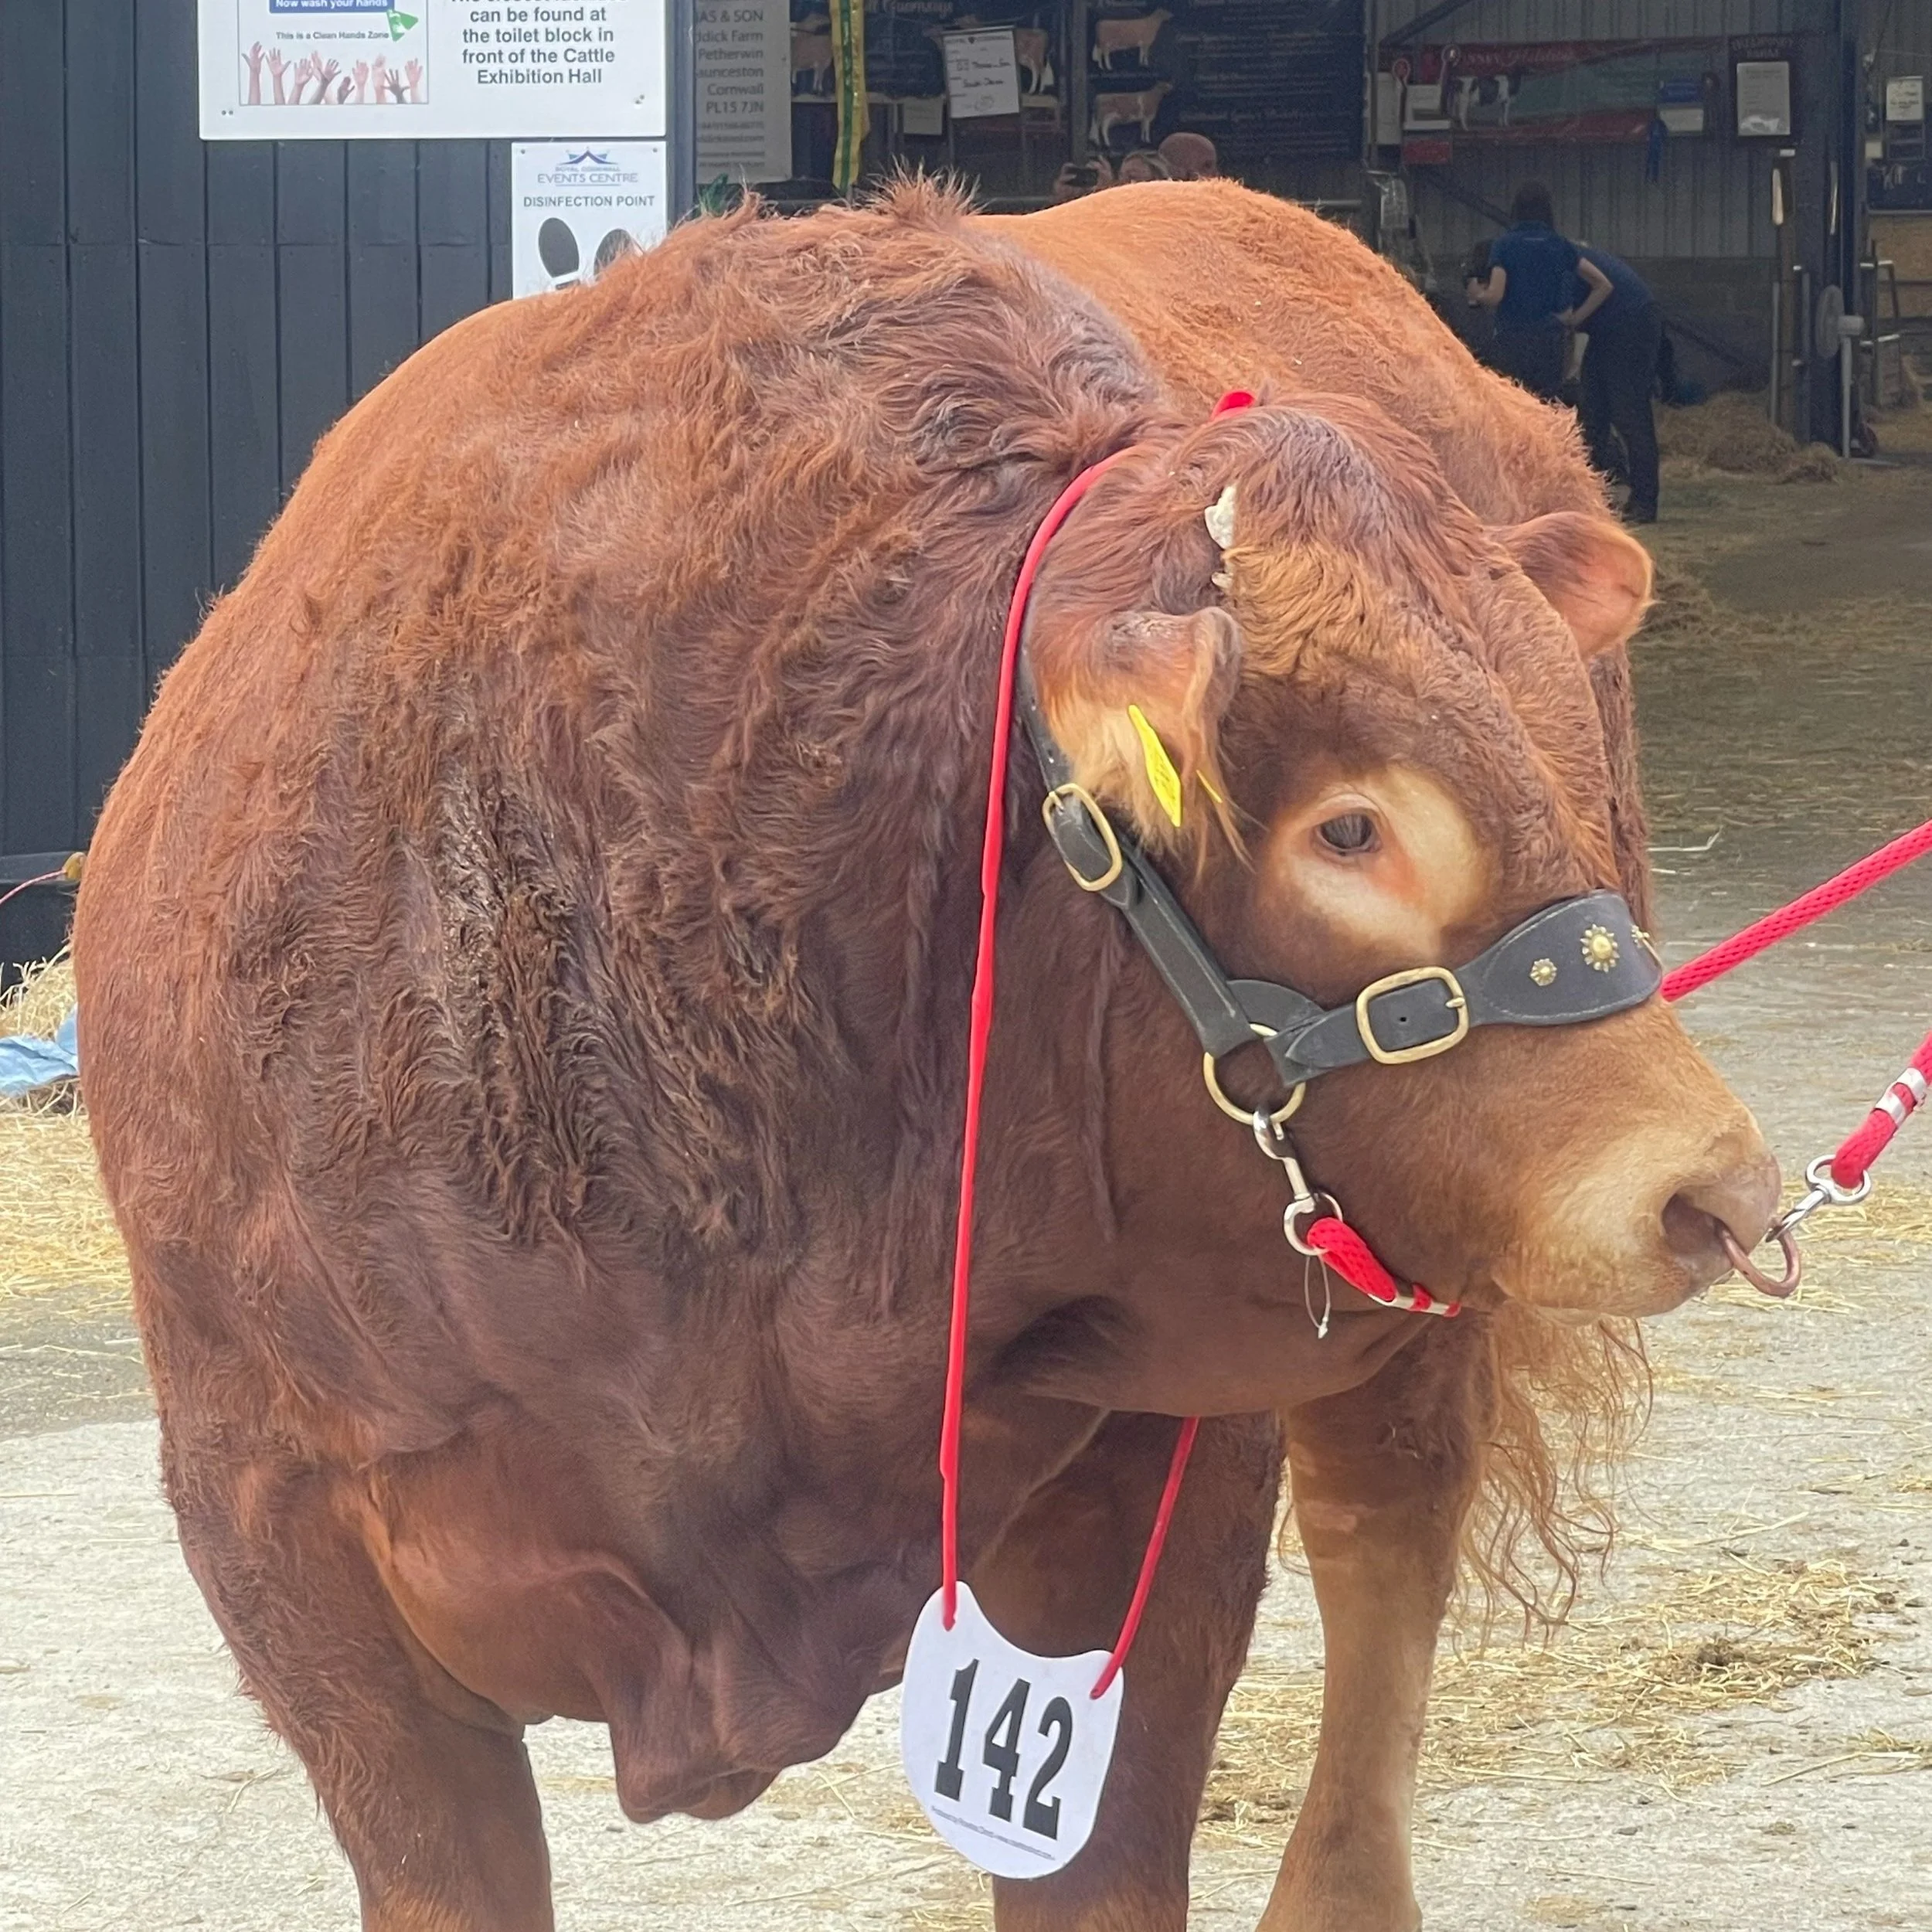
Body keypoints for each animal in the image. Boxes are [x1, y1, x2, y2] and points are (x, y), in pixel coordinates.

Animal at [75, 181, 1777, 1932]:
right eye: (1350, 826)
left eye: (1556, 758)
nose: (1714, 1187)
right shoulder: (287, 1542)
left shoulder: (1141, 1494)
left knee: (1387, 1536)